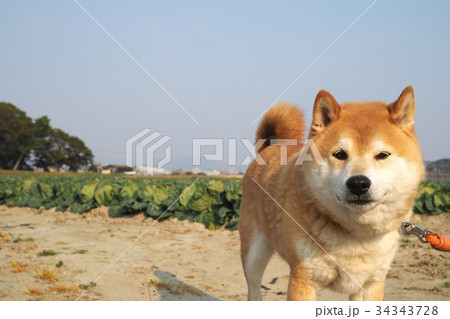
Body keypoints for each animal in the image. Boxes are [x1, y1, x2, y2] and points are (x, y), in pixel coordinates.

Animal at [241, 87, 424, 300]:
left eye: (382, 155)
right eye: (340, 154)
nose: (358, 184)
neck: (356, 235)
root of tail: (268, 148)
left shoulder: (371, 284)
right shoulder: (304, 278)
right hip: (253, 254)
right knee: (254, 290)